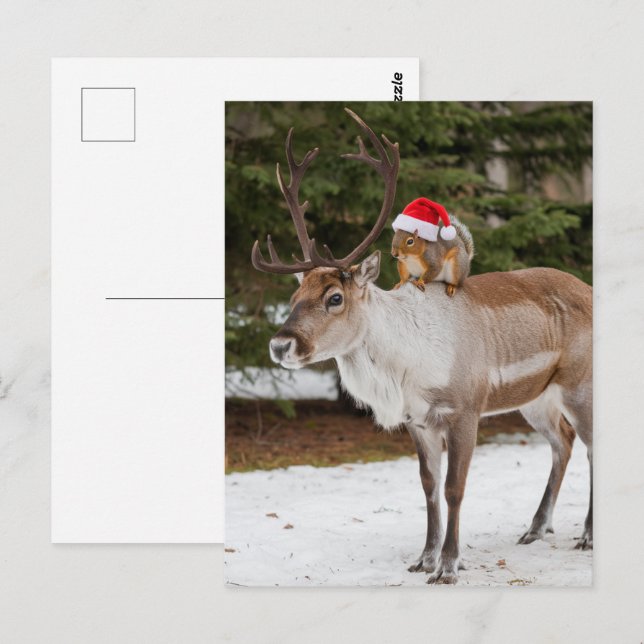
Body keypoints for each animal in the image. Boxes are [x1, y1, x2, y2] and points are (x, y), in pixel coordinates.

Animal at [251, 109, 593, 584]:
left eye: (335, 297)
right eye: (295, 294)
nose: (280, 345)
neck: (406, 367)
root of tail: (591, 289)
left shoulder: (464, 409)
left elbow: (455, 488)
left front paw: (448, 566)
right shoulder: (418, 420)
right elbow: (428, 487)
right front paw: (423, 559)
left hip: (581, 383)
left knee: (591, 444)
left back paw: (587, 535)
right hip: (535, 397)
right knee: (563, 441)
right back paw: (535, 529)